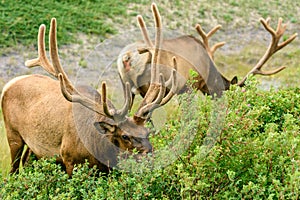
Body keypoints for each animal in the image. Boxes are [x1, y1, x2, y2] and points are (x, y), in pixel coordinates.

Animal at [1, 3, 176, 176]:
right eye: (125, 136)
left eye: (147, 132)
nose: (151, 157)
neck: (98, 150)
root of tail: (9, 84)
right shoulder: (68, 158)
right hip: (13, 134)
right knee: (13, 170)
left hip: (34, 149)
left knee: (26, 161)